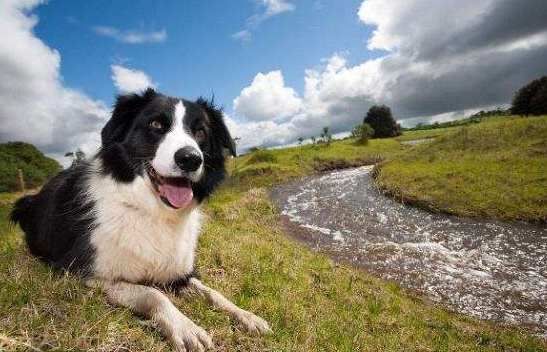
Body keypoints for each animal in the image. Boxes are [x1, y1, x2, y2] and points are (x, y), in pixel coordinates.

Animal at [10, 89, 272, 350]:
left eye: (200, 132)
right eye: (155, 124)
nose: (190, 159)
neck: (153, 210)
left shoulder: (180, 272)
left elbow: (214, 293)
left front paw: (247, 316)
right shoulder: (82, 273)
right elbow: (153, 294)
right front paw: (184, 327)